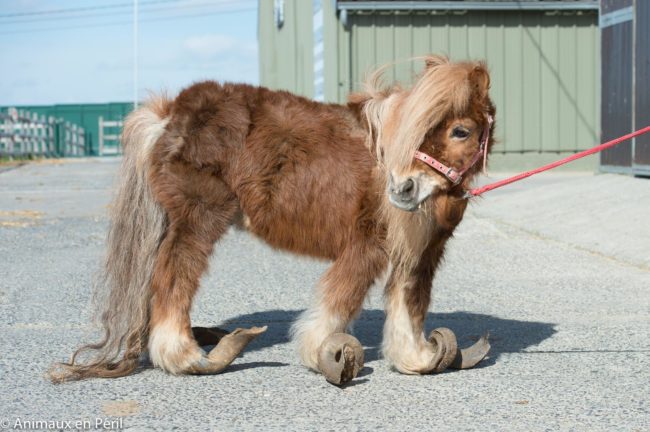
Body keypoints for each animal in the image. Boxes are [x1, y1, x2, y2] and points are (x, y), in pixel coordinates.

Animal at [50, 55, 496, 385]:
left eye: (461, 131)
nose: (402, 189)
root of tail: (169, 115)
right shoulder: (367, 245)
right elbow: (338, 301)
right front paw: (326, 355)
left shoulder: (418, 253)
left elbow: (409, 302)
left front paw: (416, 357)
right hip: (198, 219)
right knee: (173, 278)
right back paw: (188, 358)